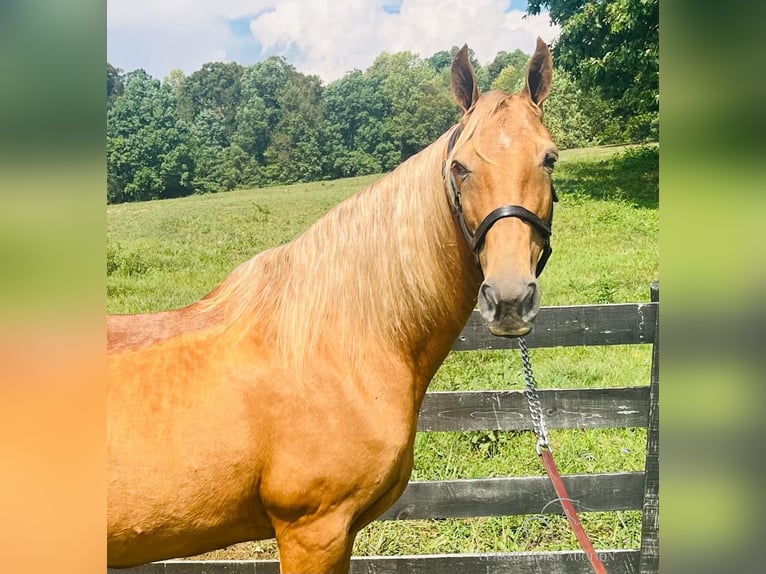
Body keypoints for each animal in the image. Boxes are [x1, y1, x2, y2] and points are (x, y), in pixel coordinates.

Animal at [108, 38, 560, 572]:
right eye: (460, 167)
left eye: (549, 159)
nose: (510, 299)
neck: (337, 343)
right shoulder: (313, 531)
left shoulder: (340, 534)